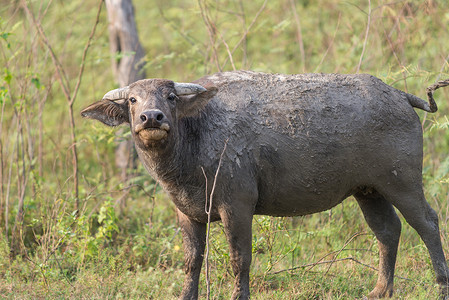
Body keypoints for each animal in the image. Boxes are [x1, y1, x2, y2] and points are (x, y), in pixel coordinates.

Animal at [81, 71, 448, 298]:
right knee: (388, 231)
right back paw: (380, 291)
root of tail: (399, 95)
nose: (152, 118)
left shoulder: (237, 206)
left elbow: (239, 258)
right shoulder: (188, 213)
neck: (197, 136)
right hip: (368, 191)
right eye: (132, 100)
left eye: (170, 96)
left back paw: (440, 285)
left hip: (403, 183)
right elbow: (192, 260)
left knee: (428, 223)